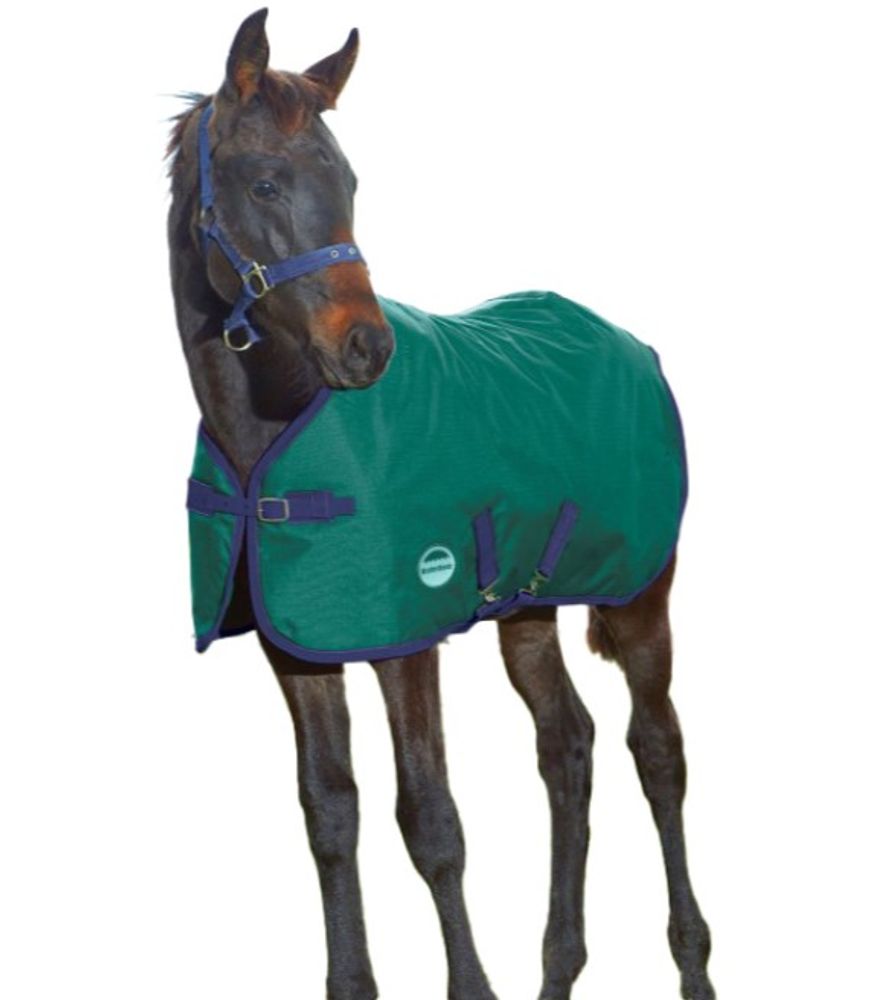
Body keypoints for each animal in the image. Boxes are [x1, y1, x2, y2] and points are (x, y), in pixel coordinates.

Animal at [165, 9, 716, 1000]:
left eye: (348, 180)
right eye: (265, 181)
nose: (366, 347)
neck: (275, 426)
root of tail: (632, 341)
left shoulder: (405, 638)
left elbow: (429, 820)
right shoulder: (296, 647)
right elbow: (330, 814)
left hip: (640, 596)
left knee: (656, 750)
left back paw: (692, 964)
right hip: (529, 607)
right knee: (567, 746)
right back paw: (559, 965)